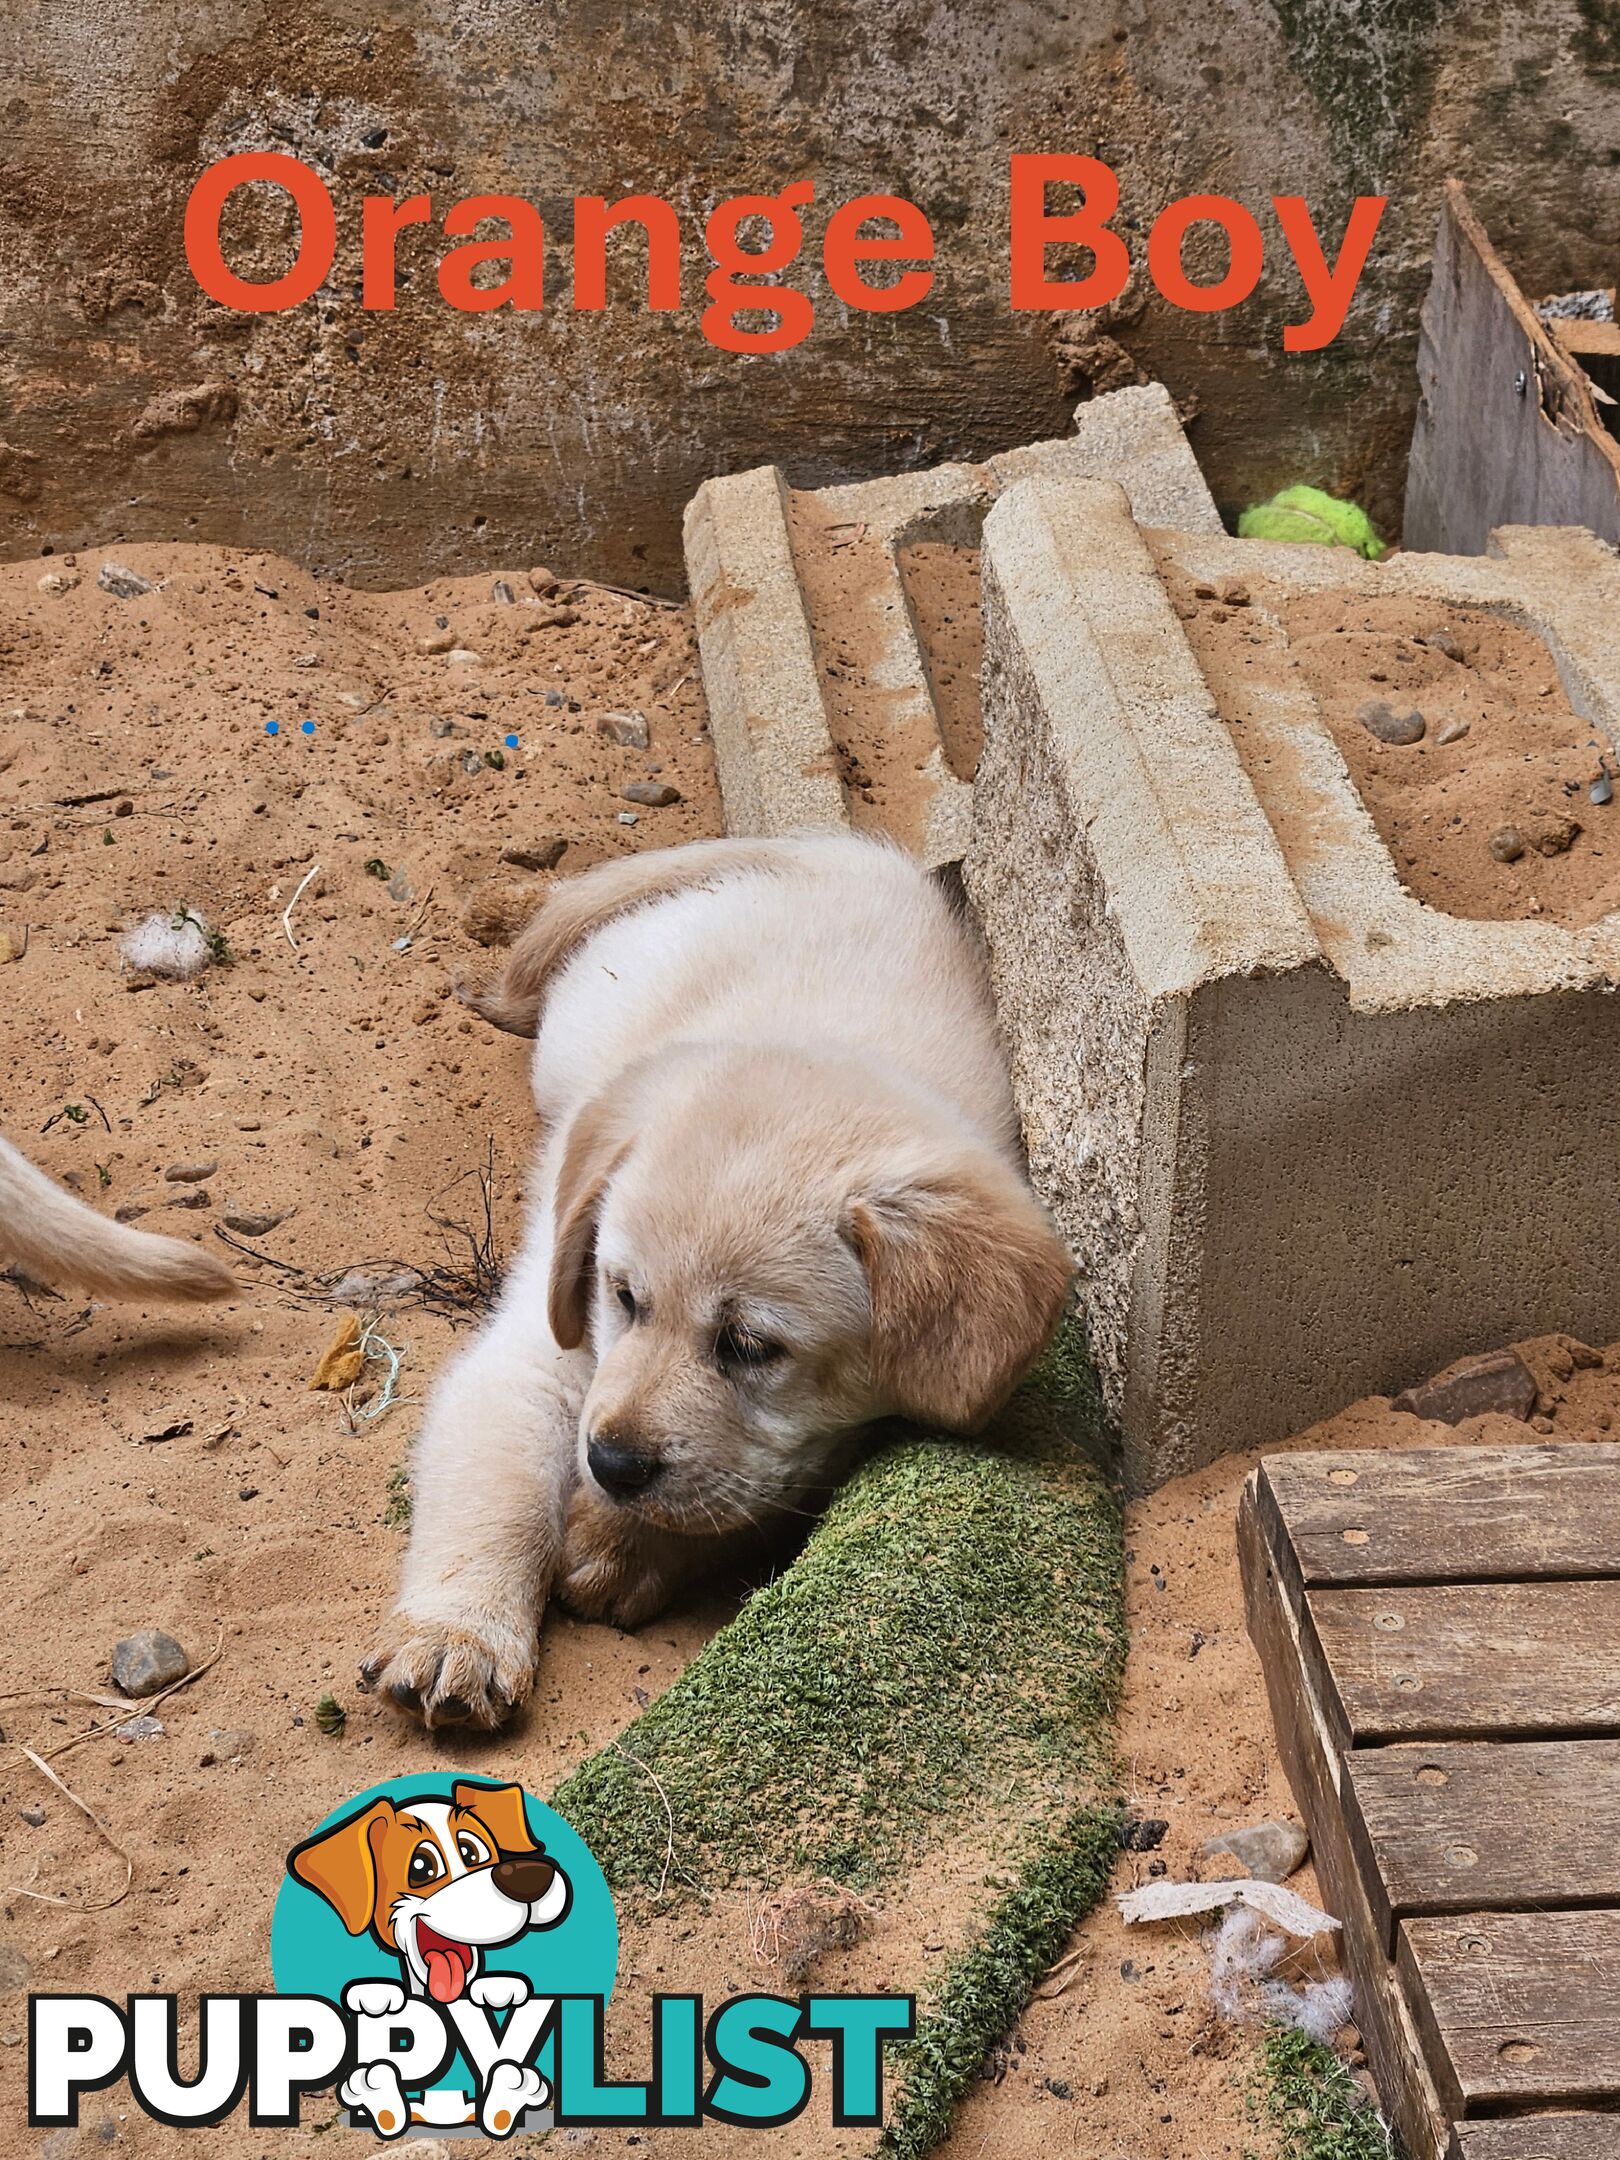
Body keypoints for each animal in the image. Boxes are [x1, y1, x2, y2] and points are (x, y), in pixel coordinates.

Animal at [371, 833, 1080, 1728]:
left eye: (749, 1346)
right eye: (622, 1297)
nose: (612, 1463)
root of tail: (830, 852)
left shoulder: (816, 1441)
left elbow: (749, 1488)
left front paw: (623, 1546)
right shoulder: (539, 1347)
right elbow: (494, 1482)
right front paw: (457, 1634)